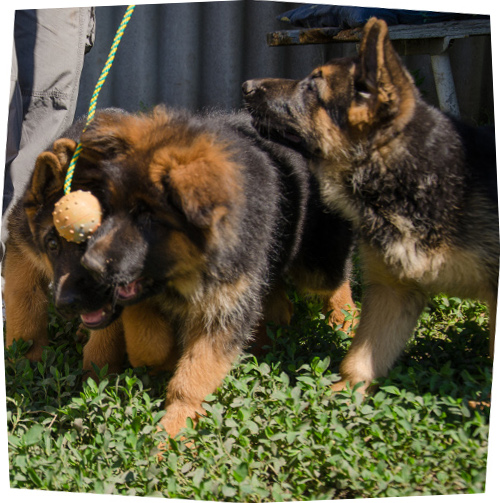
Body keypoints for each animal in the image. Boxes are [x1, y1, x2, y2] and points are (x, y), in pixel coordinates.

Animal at [242, 16, 496, 394]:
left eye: (312, 88)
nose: (245, 85)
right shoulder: (396, 290)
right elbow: (361, 359)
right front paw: (342, 396)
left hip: (318, 263)